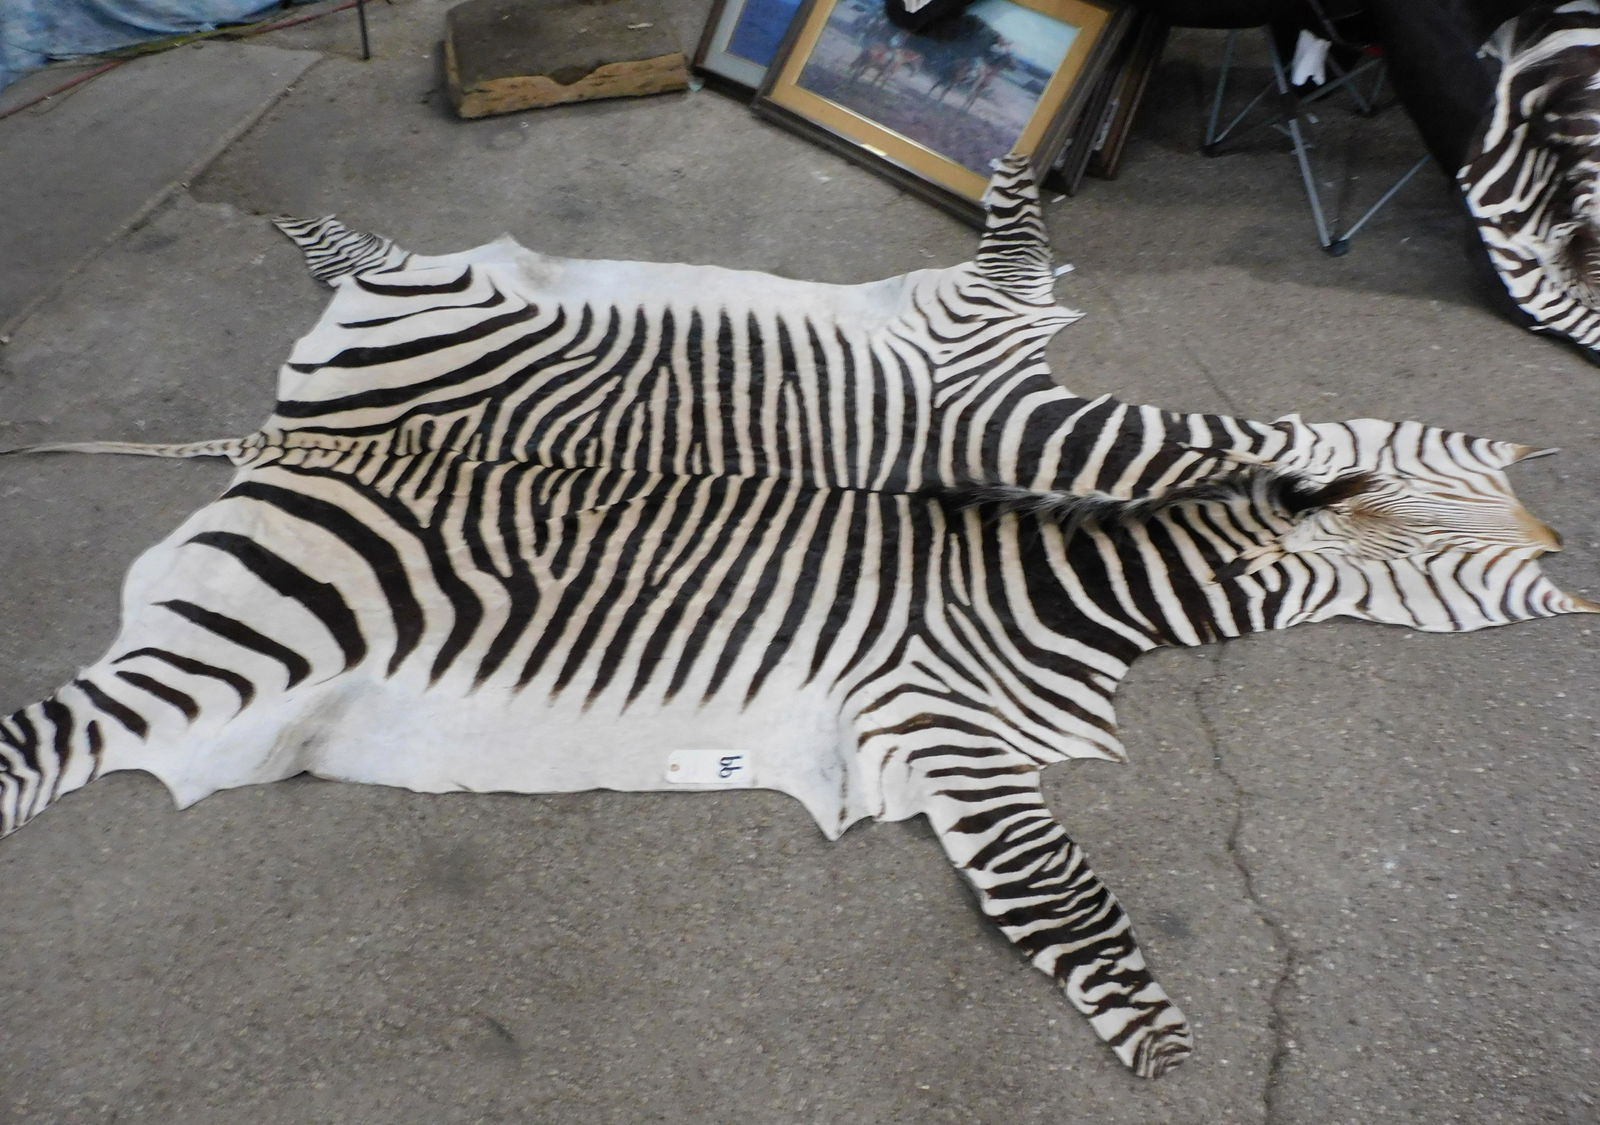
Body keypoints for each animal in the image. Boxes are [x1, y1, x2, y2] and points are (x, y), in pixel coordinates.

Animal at [0, 155, 1589, 1078]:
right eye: (1466, 568)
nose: (1563, 547)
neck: (1059, 569)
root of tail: (291, 444)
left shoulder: (946, 714)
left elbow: (1044, 885)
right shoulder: (985, 427)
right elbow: (1062, 884)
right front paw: (1159, 1038)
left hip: (352, 453)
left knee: (365, 268)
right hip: (268, 587)